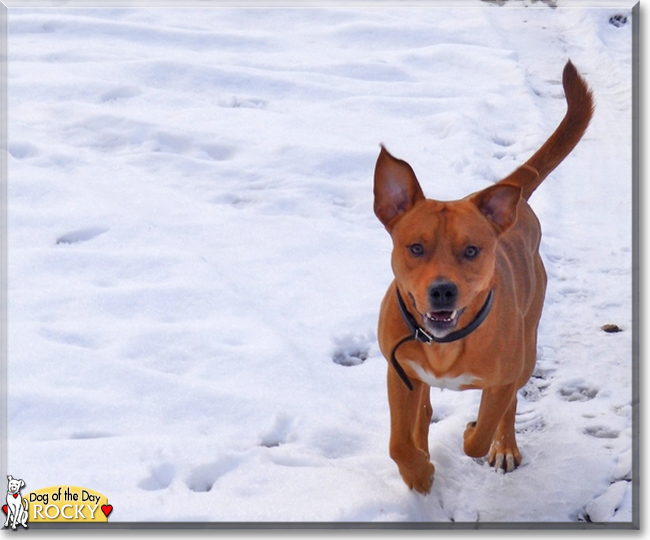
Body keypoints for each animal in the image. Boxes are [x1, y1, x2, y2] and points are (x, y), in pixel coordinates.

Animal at [374, 62, 592, 494]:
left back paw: (504, 445)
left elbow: (481, 431)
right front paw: (418, 471)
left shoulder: (503, 378)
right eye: (416, 248)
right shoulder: (399, 371)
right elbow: (398, 442)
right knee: (424, 410)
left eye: (472, 251)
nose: (443, 290)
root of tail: (511, 198)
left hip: (528, 345)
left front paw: (474, 435)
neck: (444, 347)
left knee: (509, 405)